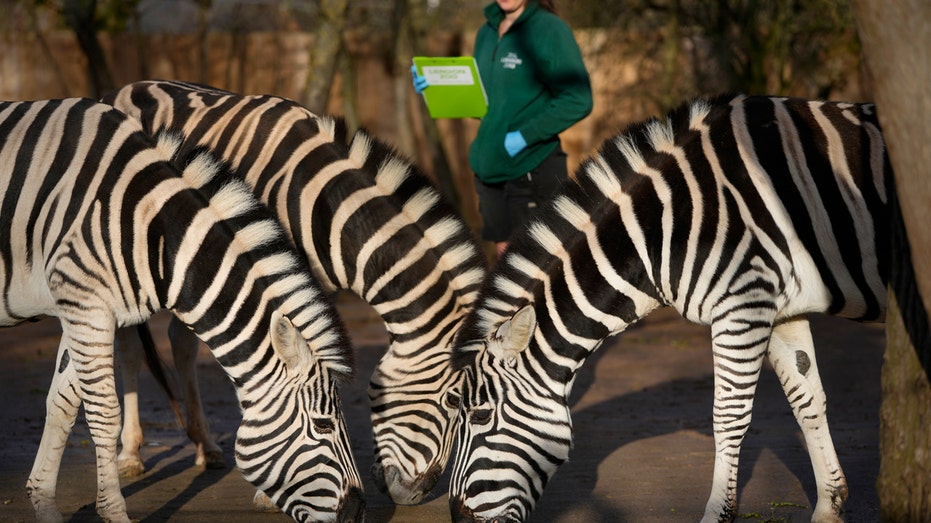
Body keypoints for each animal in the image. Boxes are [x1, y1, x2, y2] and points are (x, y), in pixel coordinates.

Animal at [0, 98, 364, 523]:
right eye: (323, 426)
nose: (358, 511)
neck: (149, 227)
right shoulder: (85, 305)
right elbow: (104, 413)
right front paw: (114, 511)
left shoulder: (83, 309)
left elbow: (62, 404)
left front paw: (43, 502)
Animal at [103, 80, 492, 506]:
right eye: (454, 400)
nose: (414, 495)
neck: (322, 208)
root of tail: (130, 86)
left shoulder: (312, 291)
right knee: (129, 349)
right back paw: (130, 454)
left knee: (181, 341)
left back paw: (206, 446)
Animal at [448, 94, 892, 523]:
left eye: (480, 416)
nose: (458, 518)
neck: (663, 229)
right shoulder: (780, 307)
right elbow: (807, 400)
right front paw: (829, 507)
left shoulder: (743, 303)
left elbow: (729, 415)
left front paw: (716, 515)